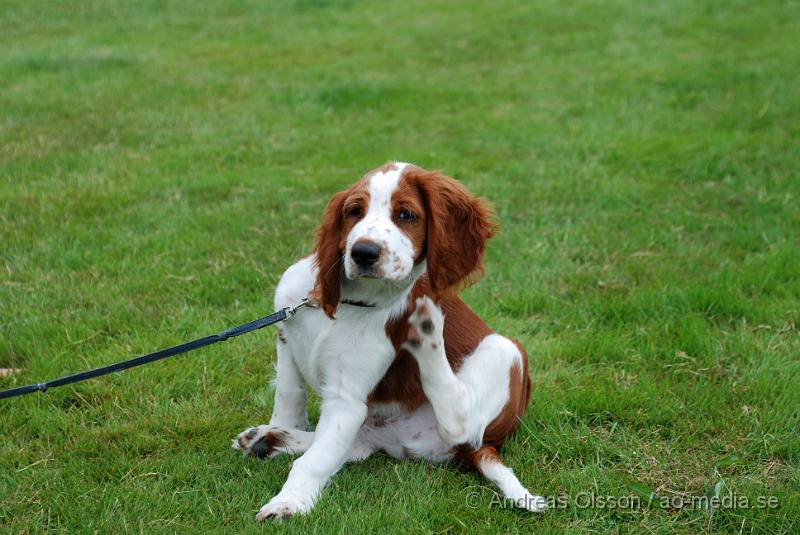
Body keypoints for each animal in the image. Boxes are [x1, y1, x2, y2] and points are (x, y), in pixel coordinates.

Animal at [231, 162, 544, 520]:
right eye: (354, 211)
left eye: (406, 215)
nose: (363, 252)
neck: (351, 301)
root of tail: (484, 447)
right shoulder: (287, 337)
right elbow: (289, 395)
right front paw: (280, 427)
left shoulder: (347, 398)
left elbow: (314, 461)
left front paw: (289, 502)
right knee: (356, 446)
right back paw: (270, 439)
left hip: (507, 352)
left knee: (459, 422)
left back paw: (428, 330)